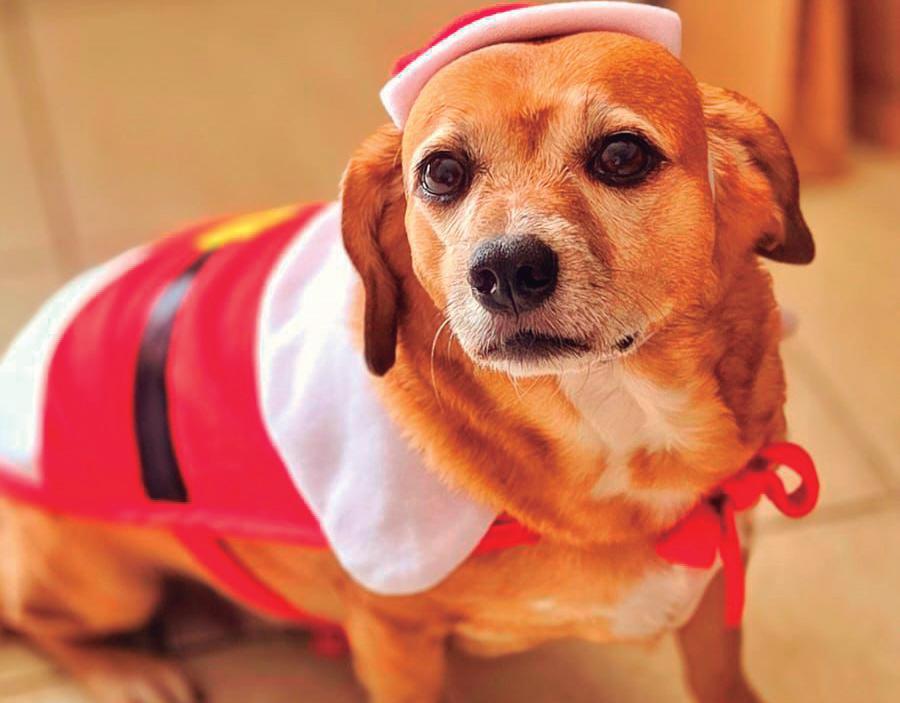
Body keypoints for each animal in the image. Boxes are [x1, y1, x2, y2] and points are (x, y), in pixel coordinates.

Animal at [0, 5, 816, 703]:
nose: (507, 270)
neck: (618, 422)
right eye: (442, 172)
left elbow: (723, 682)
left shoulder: (717, 594)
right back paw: (130, 670)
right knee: (38, 623)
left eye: (622, 154)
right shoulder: (393, 636)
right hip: (103, 583)